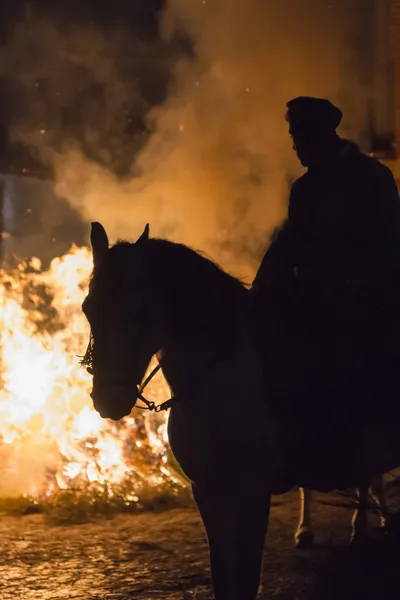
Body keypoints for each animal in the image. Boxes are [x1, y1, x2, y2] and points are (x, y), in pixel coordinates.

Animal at [79, 223, 400, 600]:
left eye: (140, 309)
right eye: (88, 308)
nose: (108, 399)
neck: (221, 377)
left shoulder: (252, 494)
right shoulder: (208, 491)